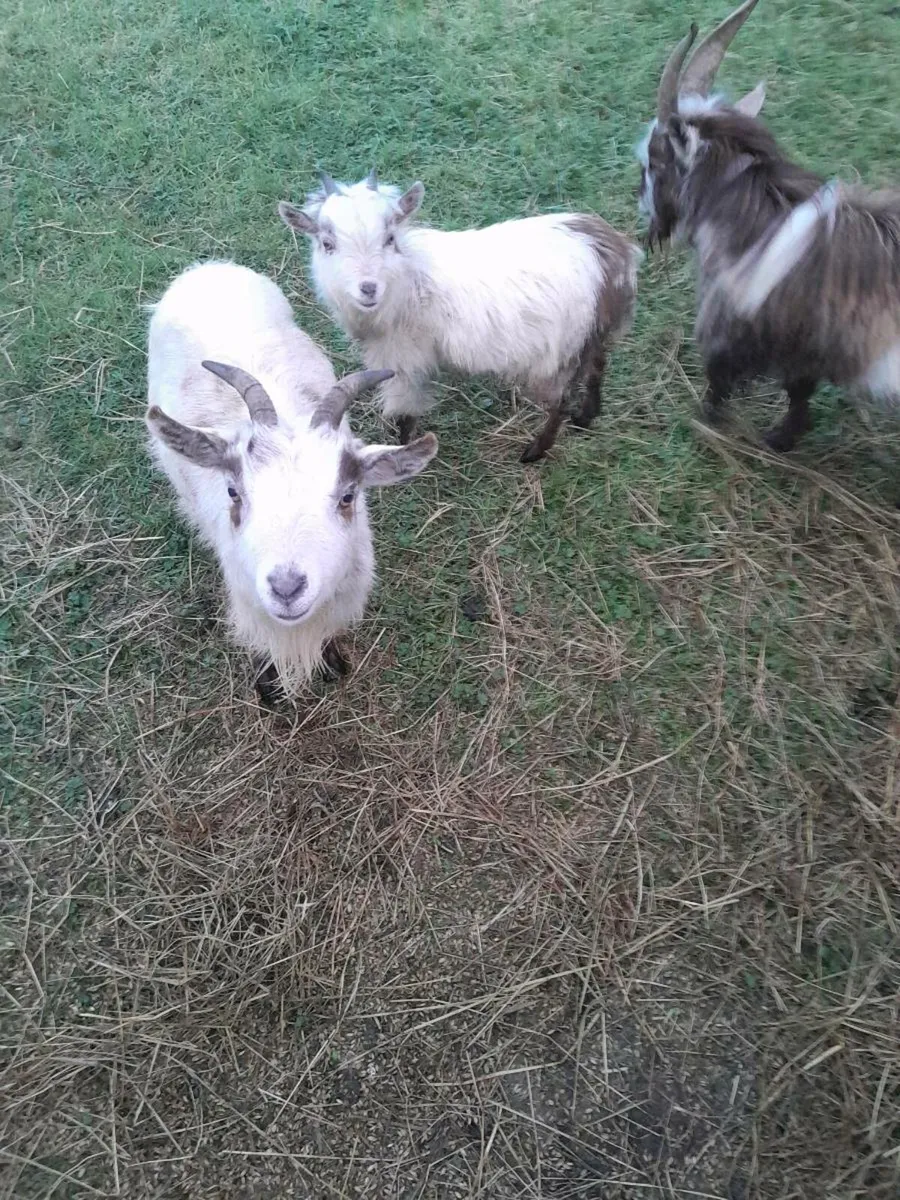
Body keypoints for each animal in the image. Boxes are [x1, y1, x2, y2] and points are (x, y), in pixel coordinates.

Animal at [278, 171, 641, 463]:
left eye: (390, 239)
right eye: (327, 244)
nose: (368, 288)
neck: (410, 278)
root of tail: (614, 256)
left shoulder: (405, 358)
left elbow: (405, 411)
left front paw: (403, 448)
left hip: (557, 353)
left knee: (562, 400)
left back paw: (536, 451)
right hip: (592, 332)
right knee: (599, 364)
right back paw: (587, 416)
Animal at [637, 0, 900, 450]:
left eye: (655, 161)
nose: (643, 207)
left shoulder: (741, 322)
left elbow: (730, 374)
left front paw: (725, 423)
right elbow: (801, 392)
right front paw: (782, 438)